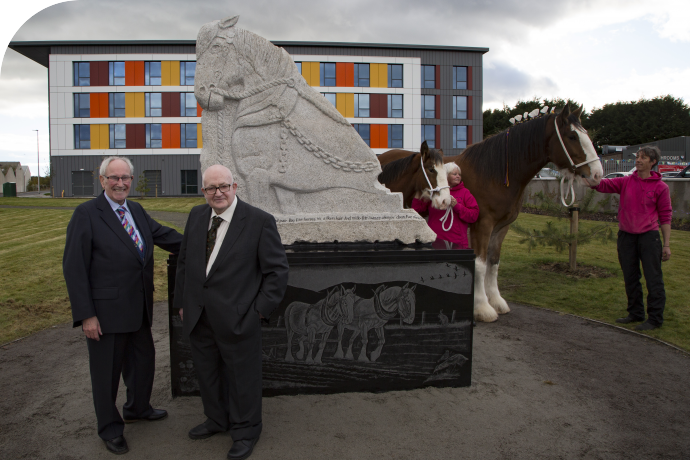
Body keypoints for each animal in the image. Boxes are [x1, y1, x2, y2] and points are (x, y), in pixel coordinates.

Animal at [378, 107, 600, 324]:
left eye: (586, 134)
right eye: (572, 136)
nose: (597, 173)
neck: (495, 172)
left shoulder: (502, 227)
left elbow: (494, 263)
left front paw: (496, 300)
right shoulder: (482, 225)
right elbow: (481, 264)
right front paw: (482, 307)